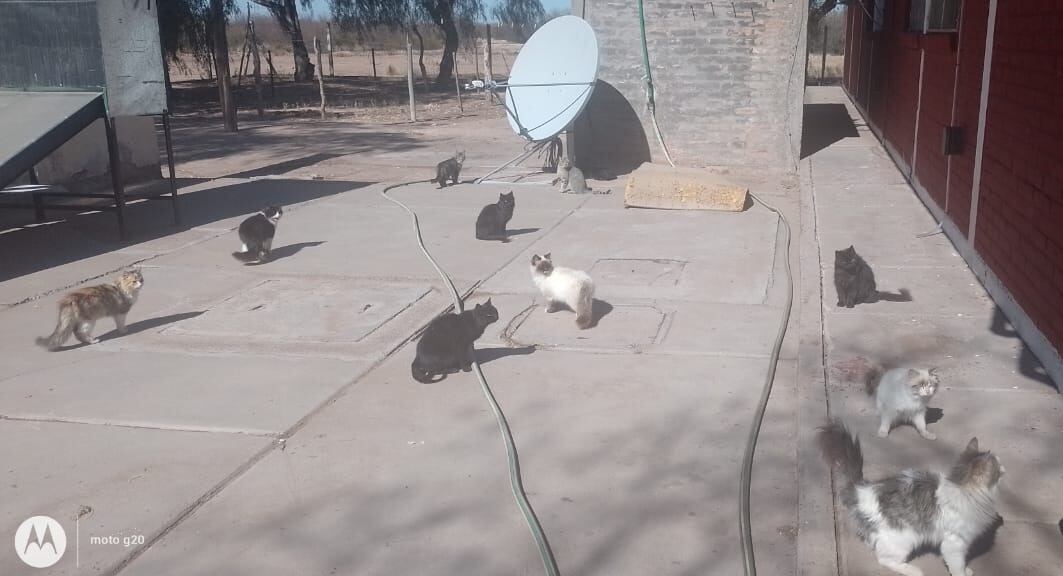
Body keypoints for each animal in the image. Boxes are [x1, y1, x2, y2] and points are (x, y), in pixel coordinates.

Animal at [820, 422, 1003, 573]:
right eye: (997, 469)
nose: (1004, 468)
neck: (962, 488)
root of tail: (861, 489)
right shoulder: (954, 543)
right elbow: (957, 565)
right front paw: (963, 572)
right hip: (903, 540)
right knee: (884, 560)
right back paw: (912, 570)